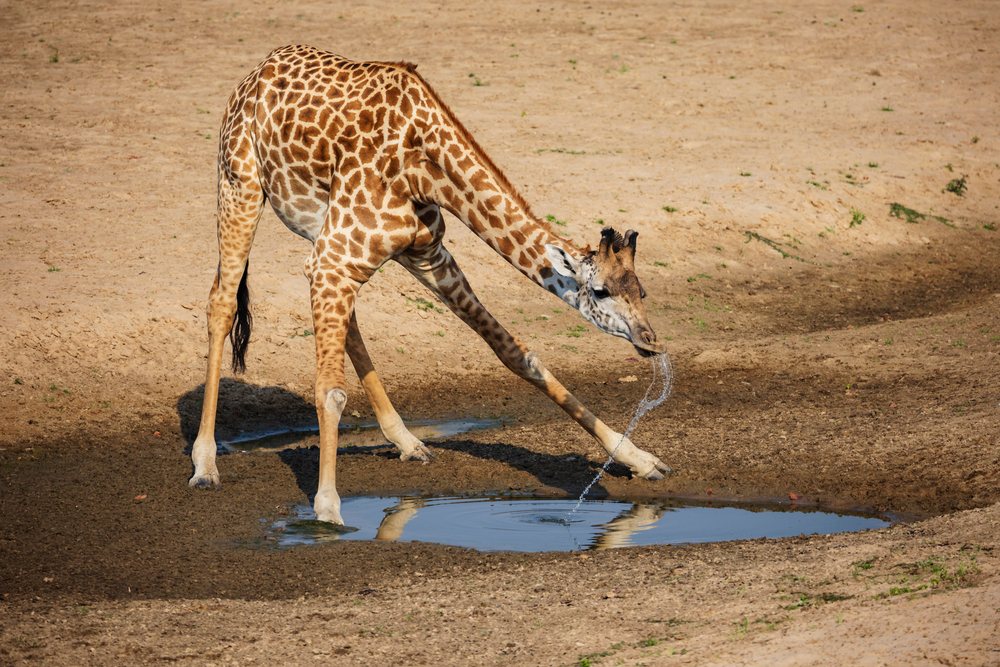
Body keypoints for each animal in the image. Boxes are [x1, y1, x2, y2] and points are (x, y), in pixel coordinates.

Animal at [190, 45, 671, 525]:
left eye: (641, 291)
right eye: (602, 291)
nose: (651, 341)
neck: (424, 170)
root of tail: (259, 69)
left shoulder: (426, 254)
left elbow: (517, 354)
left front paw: (640, 459)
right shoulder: (336, 259)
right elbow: (330, 390)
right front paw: (327, 509)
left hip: (324, 239)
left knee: (347, 324)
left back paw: (408, 442)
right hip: (240, 187)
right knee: (221, 302)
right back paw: (205, 465)